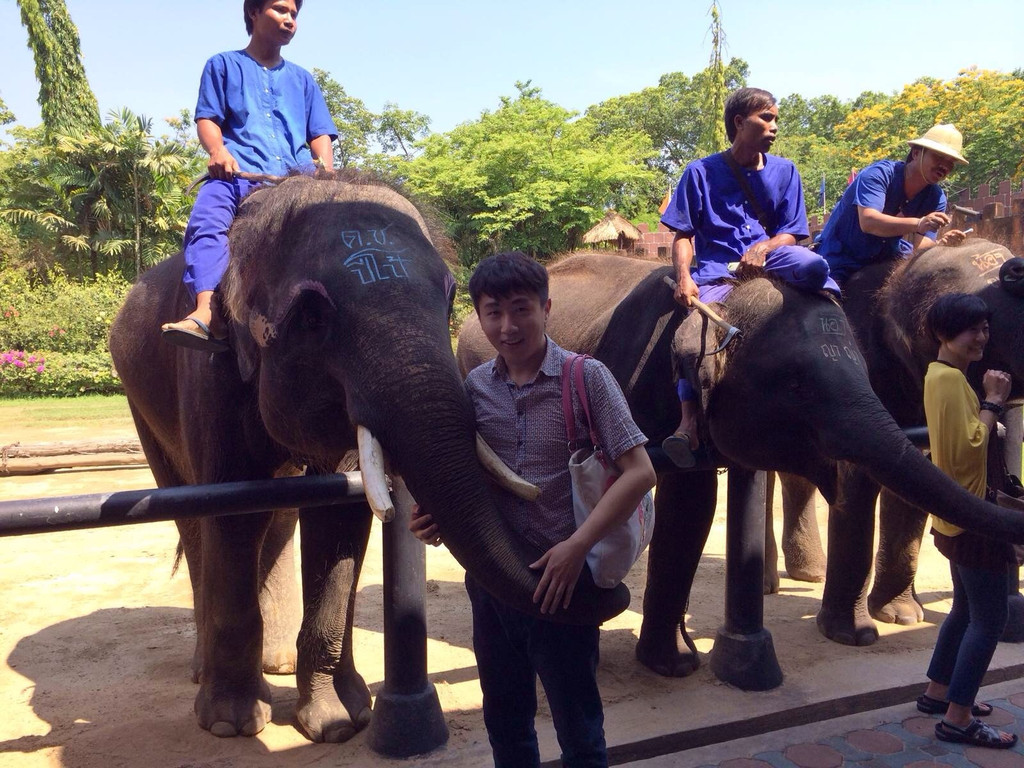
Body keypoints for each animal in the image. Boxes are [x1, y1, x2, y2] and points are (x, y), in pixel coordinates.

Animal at [110, 173, 622, 741]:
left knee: (278, 515)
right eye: (311, 316)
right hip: (140, 398)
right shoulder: (211, 373)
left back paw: (278, 662)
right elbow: (232, 512)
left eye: (450, 299)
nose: (612, 593)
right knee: (193, 513)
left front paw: (339, 723)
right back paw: (213, 677)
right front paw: (233, 724)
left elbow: (340, 515)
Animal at [458, 253, 1024, 679]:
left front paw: (675, 665)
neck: (723, 302)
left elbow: (691, 508)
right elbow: (681, 498)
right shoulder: (638, 372)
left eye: (863, 372)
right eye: (797, 386)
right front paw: (673, 664)